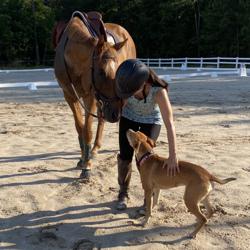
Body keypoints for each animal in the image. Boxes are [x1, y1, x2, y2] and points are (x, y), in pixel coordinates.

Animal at [53, 11, 137, 180]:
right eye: (101, 72)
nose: (115, 114)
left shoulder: (89, 95)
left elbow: (87, 130)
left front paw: (87, 166)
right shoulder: (69, 94)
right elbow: (80, 127)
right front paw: (83, 159)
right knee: (102, 118)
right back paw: (95, 149)